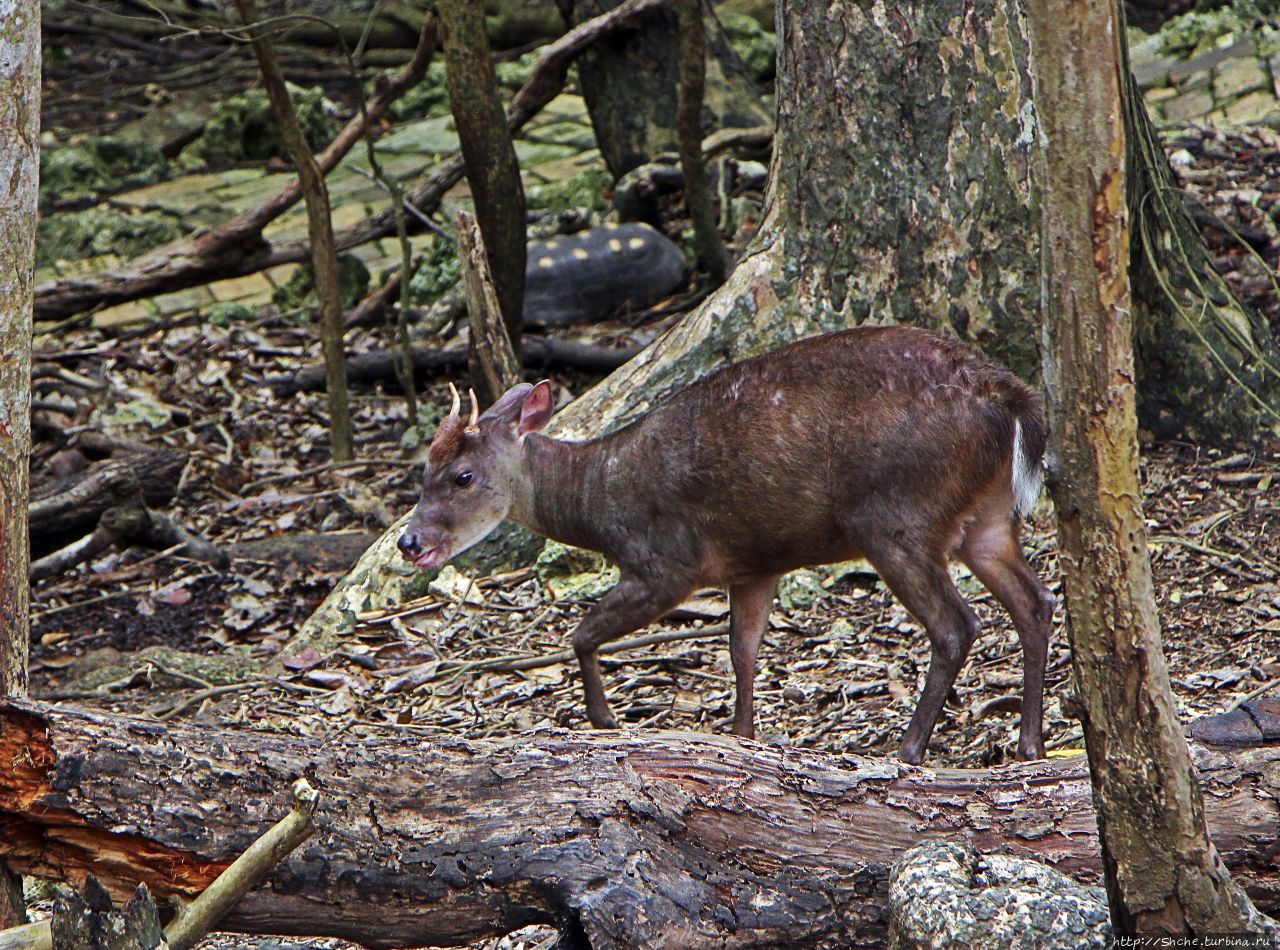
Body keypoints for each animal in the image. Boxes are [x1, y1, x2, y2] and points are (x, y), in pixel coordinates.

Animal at [399, 327, 1049, 768]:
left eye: (462, 476)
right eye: (422, 470)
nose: (409, 541)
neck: (598, 500)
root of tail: (1007, 396)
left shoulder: (665, 563)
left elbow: (581, 633)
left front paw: (603, 720)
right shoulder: (753, 565)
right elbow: (743, 651)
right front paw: (742, 737)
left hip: (896, 516)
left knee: (956, 623)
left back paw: (909, 749)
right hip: (986, 520)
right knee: (1035, 603)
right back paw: (1029, 743)